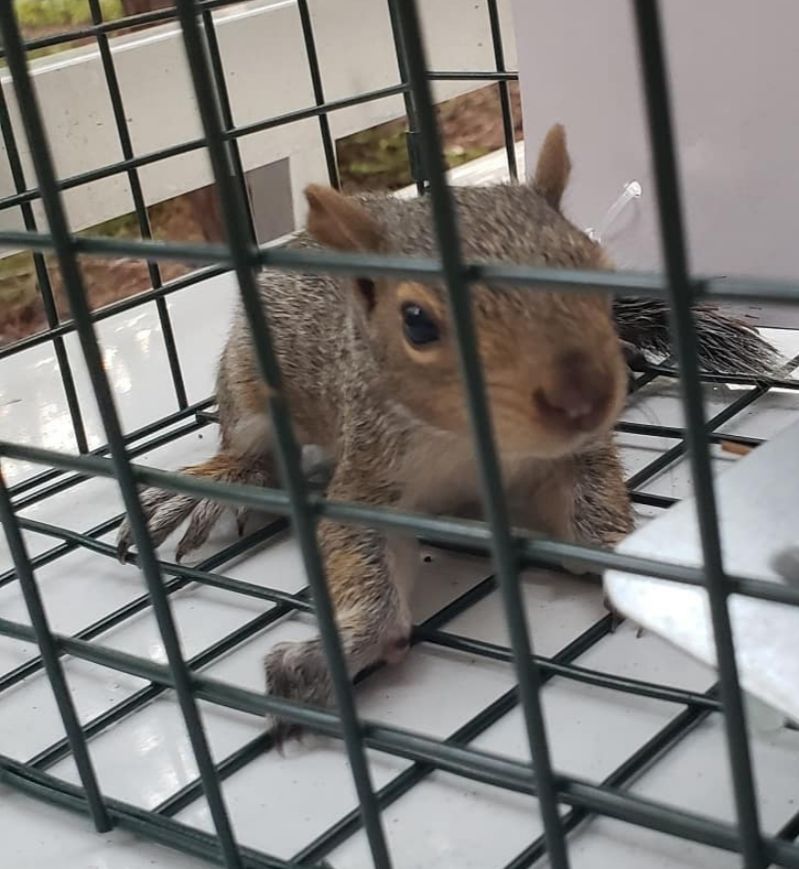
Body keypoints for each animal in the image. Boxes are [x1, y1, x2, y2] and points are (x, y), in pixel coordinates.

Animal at [116, 124, 779, 738]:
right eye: (416, 322)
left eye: (597, 270)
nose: (584, 397)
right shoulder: (369, 472)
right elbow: (360, 559)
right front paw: (337, 652)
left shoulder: (575, 455)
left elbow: (593, 510)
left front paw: (635, 564)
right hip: (249, 380)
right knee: (252, 448)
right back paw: (207, 485)